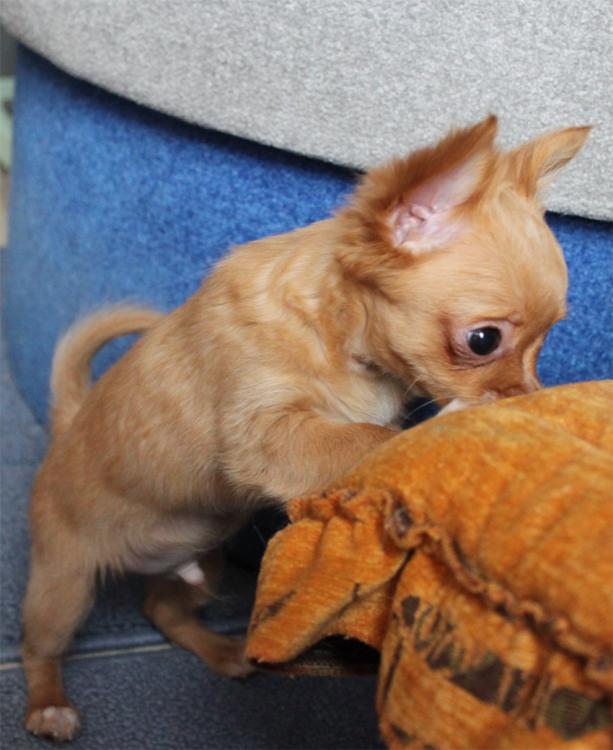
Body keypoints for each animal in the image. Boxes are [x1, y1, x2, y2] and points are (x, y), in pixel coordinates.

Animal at [21, 116, 589, 740]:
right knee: (39, 645)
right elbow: (366, 437)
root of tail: (67, 424)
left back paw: (223, 652)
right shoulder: (265, 435)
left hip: (203, 560)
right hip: (64, 580)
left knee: (163, 611)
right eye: (483, 340)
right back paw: (48, 706)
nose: (530, 397)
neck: (339, 340)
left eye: (545, 345)